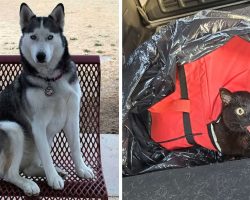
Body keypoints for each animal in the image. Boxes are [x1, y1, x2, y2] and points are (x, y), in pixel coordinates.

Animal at [0, 2, 94, 195]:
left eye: (50, 36)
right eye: (33, 37)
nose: (41, 56)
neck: (51, 80)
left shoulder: (72, 116)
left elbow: (76, 147)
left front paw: (81, 169)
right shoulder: (38, 125)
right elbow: (47, 156)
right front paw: (53, 179)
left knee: (28, 168)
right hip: (13, 129)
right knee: (9, 174)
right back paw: (28, 184)